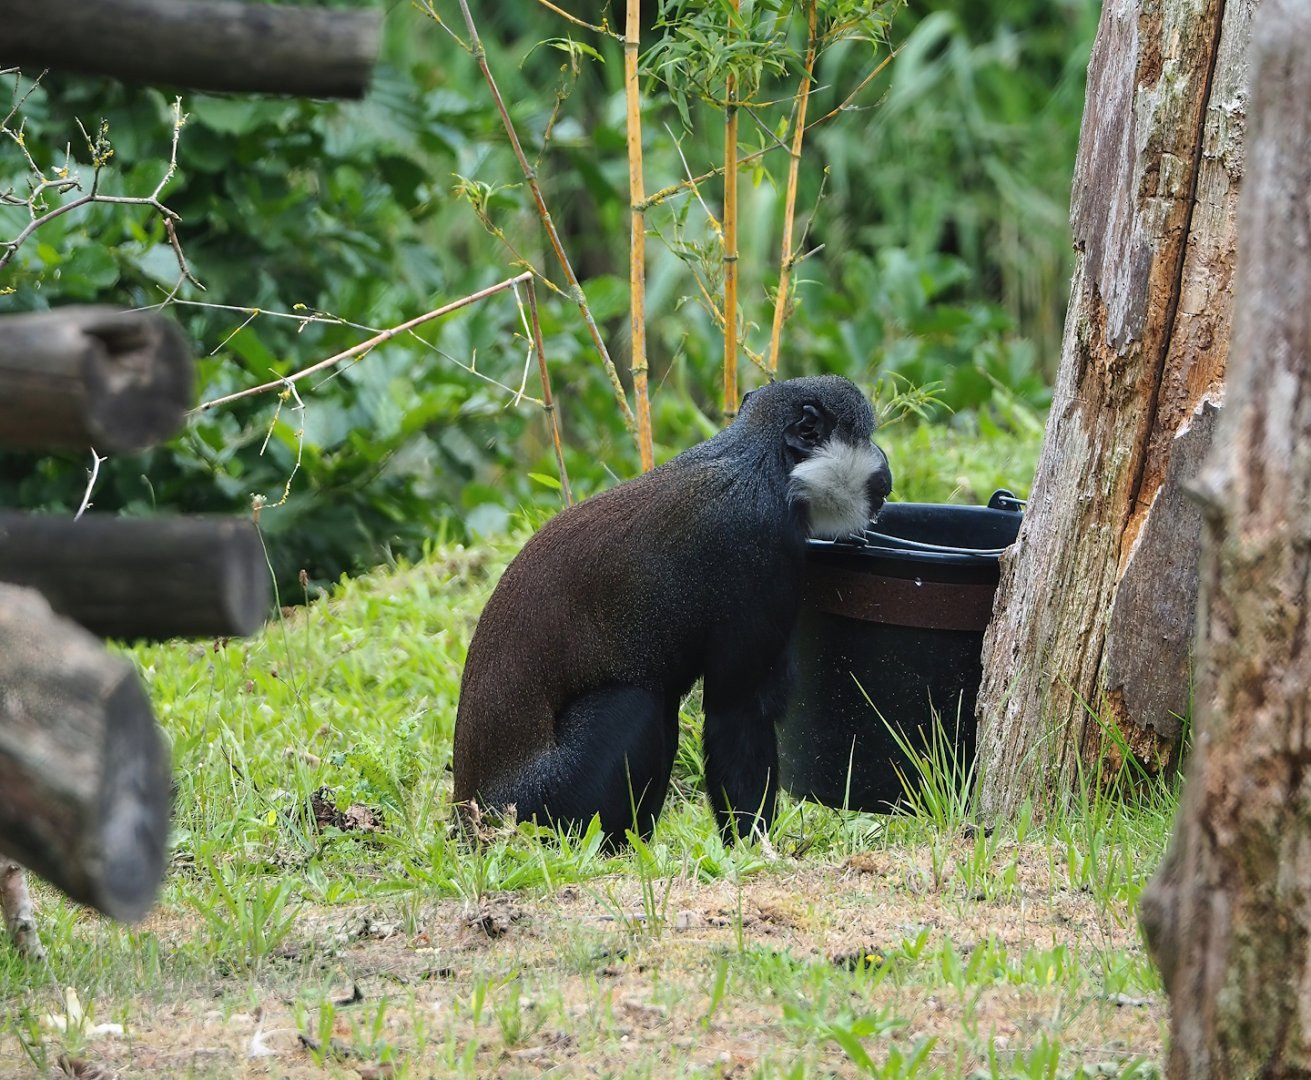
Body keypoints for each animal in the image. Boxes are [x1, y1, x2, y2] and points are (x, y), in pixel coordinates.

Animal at [452, 375, 892, 845]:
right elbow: (737, 713)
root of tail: (470, 819)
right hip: (544, 805)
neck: (763, 465)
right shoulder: (759, 550)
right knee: (636, 701)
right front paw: (754, 846)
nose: (884, 460)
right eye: (866, 435)